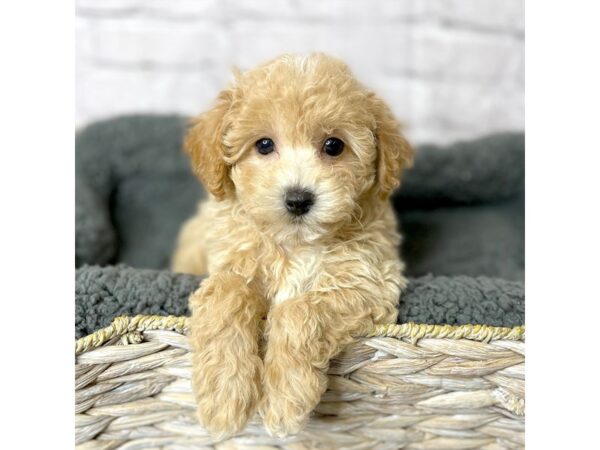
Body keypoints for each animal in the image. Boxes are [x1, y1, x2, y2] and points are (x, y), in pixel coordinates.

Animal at [172, 51, 412, 436]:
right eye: (264, 145)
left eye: (334, 146)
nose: (298, 199)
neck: (295, 243)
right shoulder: (231, 263)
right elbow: (228, 295)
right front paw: (224, 397)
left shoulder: (368, 281)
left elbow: (299, 309)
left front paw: (285, 398)